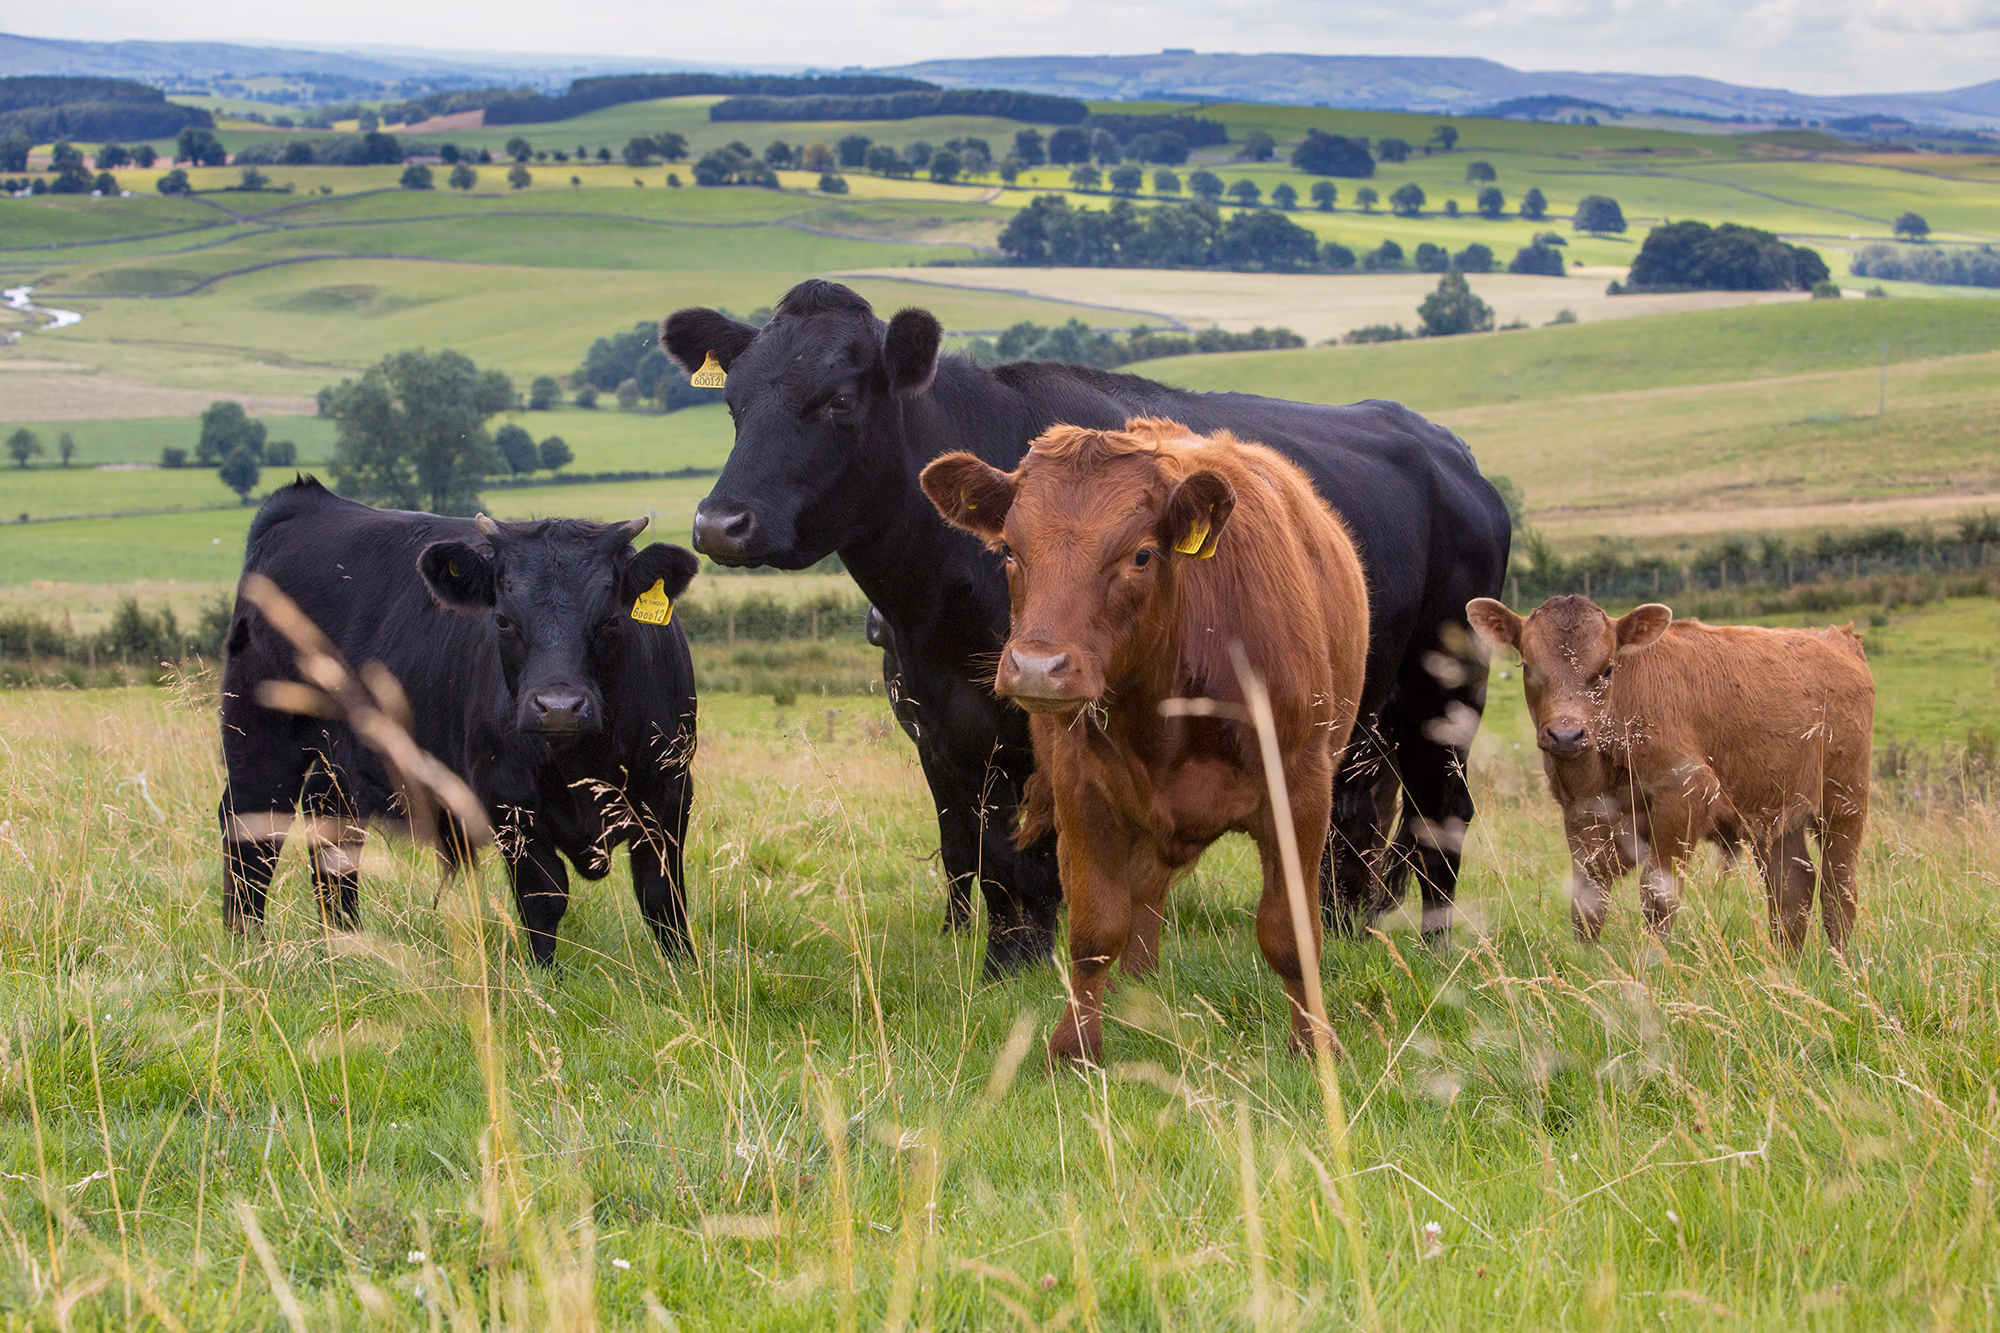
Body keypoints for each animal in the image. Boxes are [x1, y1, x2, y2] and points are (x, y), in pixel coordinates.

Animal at [217, 478, 701, 966]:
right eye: (503, 621)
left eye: (612, 622)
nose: (559, 707)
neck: (582, 759)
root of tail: (306, 503)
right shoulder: (509, 801)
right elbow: (543, 898)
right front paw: (547, 979)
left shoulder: (670, 791)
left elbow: (661, 895)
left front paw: (682, 972)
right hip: (259, 736)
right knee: (251, 832)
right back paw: (248, 948)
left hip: (340, 763)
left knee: (333, 839)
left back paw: (345, 944)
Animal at [663, 279, 1510, 976]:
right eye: (735, 403)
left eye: (838, 400)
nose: (720, 522)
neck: (936, 609)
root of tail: (1451, 452)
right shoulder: (944, 729)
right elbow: (981, 852)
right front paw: (1003, 964)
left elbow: (1042, 857)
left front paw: (1039, 964)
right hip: (1359, 712)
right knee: (1356, 819)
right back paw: (1338, 928)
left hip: (1443, 691)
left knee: (1441, 813)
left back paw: (1434, 947)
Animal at [923, 419, 1370, 1061]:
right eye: (1009, 550)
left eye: (1140, 555)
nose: (1037, 667)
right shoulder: (1081, 789)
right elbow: (1094, 929)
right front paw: (1074, 1048)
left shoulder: (1302, 789)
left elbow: (1291, 931)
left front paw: (1314, 1044)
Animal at [1466, 595, 1873, 949]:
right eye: (1529, 667)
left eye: (1608, 668)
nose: (1567, 734)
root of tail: (1838, 639)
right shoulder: (1581, 813)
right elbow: (1588, 902)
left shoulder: (1685, 796)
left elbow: (1658, 896)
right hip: (1774, 816)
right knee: (1791, 888)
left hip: (1844, 803)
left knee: (1840, 886)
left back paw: (1841, 963)